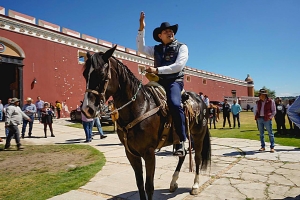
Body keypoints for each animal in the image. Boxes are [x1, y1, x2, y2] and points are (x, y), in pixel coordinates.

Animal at [81, 46, 210, 199]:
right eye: (84, 74)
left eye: (101, 73)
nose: (87, 109)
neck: (140, 106)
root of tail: (199, 100)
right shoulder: (131, 154)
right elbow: (140, 184)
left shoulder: (149, 153)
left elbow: (149, 186)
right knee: (182, 155)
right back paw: (173, 182)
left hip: (198, 136)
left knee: (197, 158)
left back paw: (195, 185)